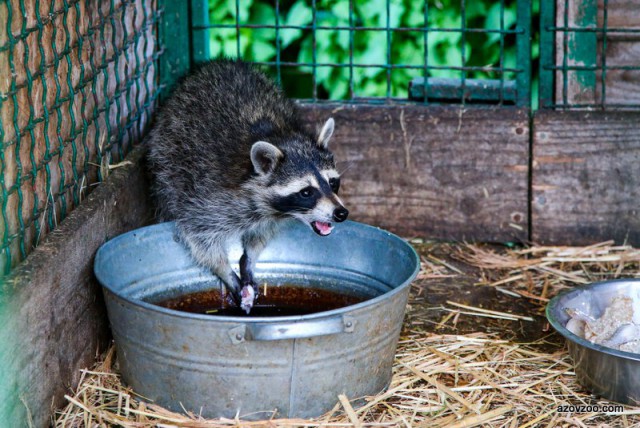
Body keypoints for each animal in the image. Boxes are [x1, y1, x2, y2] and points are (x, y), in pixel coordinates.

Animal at [147, 59, 348, 310]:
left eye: (332, 182)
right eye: (306, 192)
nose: (341, 213)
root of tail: (217, 63)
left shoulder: (268, 217)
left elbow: (261, 233)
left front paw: (249, 258)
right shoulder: (205, 196)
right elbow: (198, 236)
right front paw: (224, 270)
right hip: (166, 161)